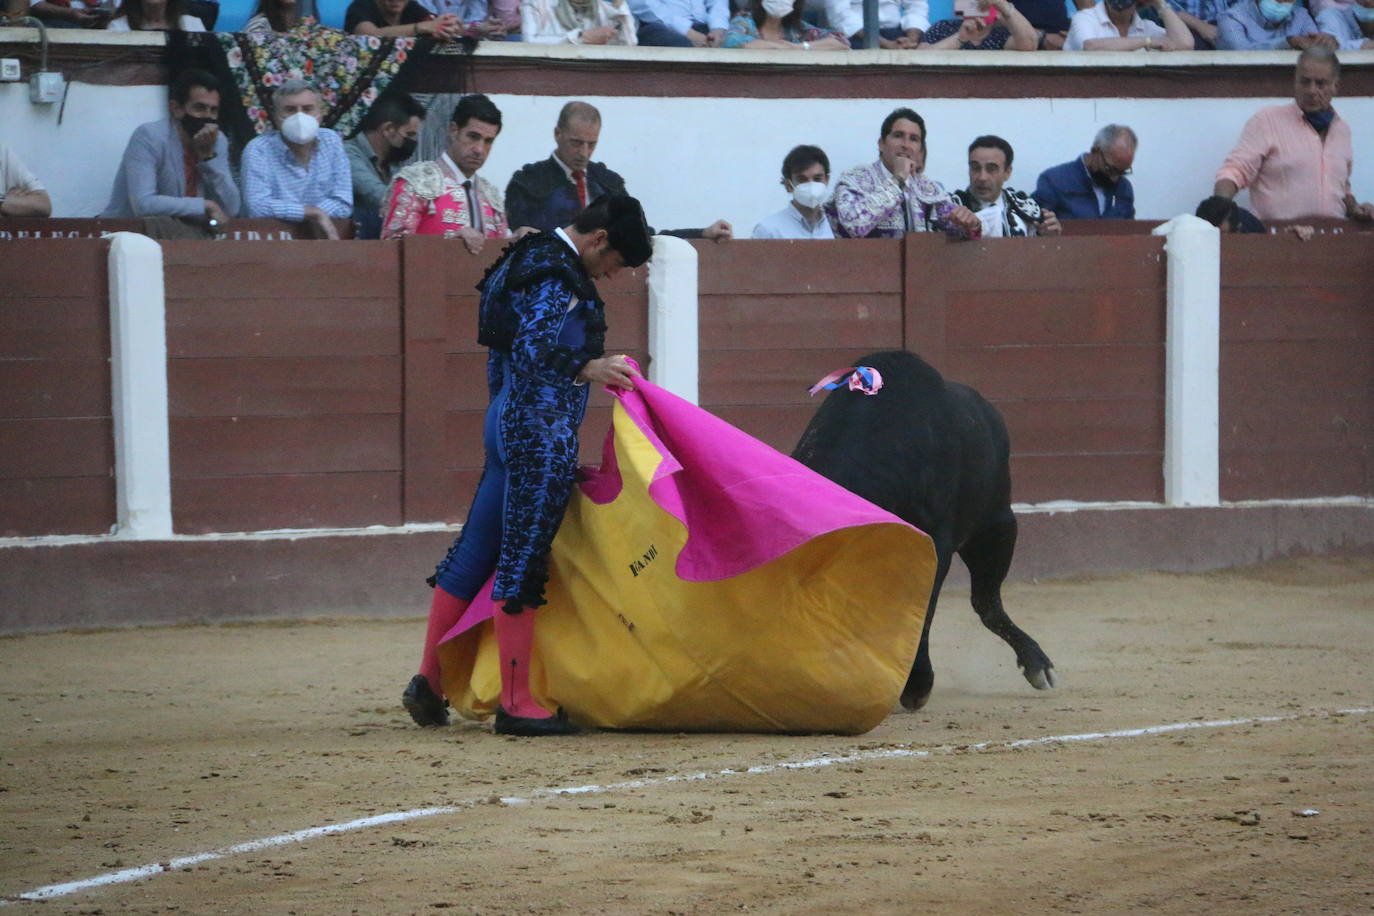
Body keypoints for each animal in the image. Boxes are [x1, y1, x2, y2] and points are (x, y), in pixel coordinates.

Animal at [791, 348, 1055, 708]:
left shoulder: (936, 544)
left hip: (998, 527)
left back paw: (1036, 663)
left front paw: (917, 685)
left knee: (987, 602)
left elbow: (923, 608)